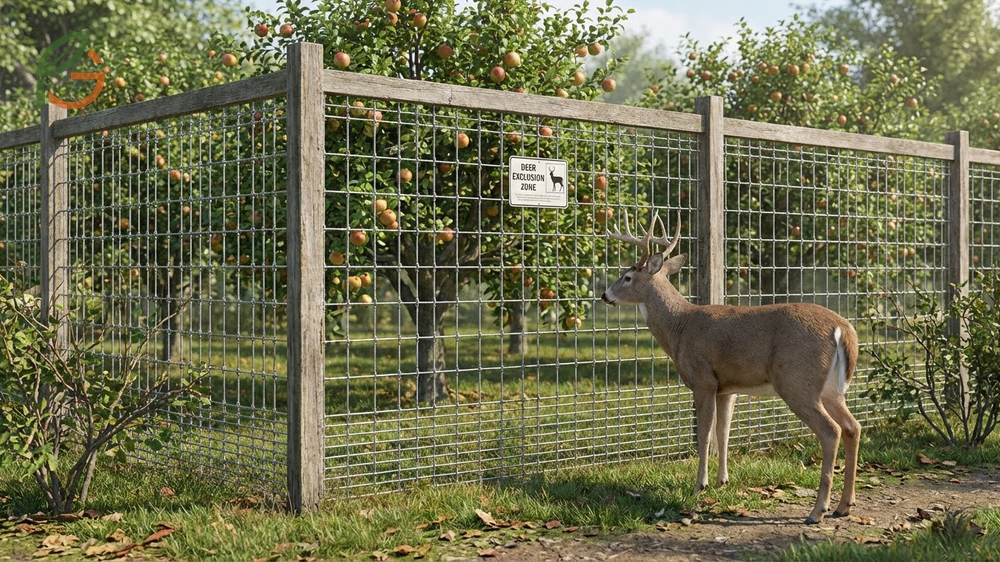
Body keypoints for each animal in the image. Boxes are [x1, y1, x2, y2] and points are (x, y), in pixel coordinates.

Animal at [600, 210, 861, 524]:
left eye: (627, 277)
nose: (605, 295)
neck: (680, 327)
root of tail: (843, 330)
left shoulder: (703, 380)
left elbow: (704, 434)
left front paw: (700, 484)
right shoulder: (727, 388)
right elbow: (724, 432)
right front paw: (723, 480)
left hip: (797, 382)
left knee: (831, 431)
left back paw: (817, 511)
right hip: (832, 390)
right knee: (853, 427)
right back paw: (844, 505)